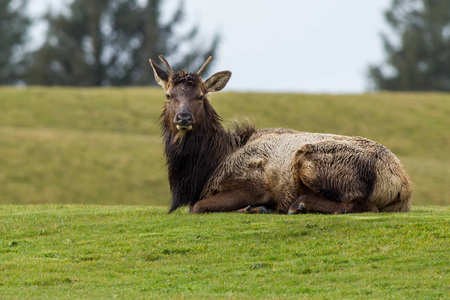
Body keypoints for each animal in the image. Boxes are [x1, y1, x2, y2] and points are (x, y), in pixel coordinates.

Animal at [149, 55, 414, 213]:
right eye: (169, 95)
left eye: (201, 96)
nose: (184, 118)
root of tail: (400, 182)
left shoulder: (253, 185)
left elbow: (196, 207)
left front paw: (254, 208)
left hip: (313, 161)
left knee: (361, 204)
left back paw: (298, 205)